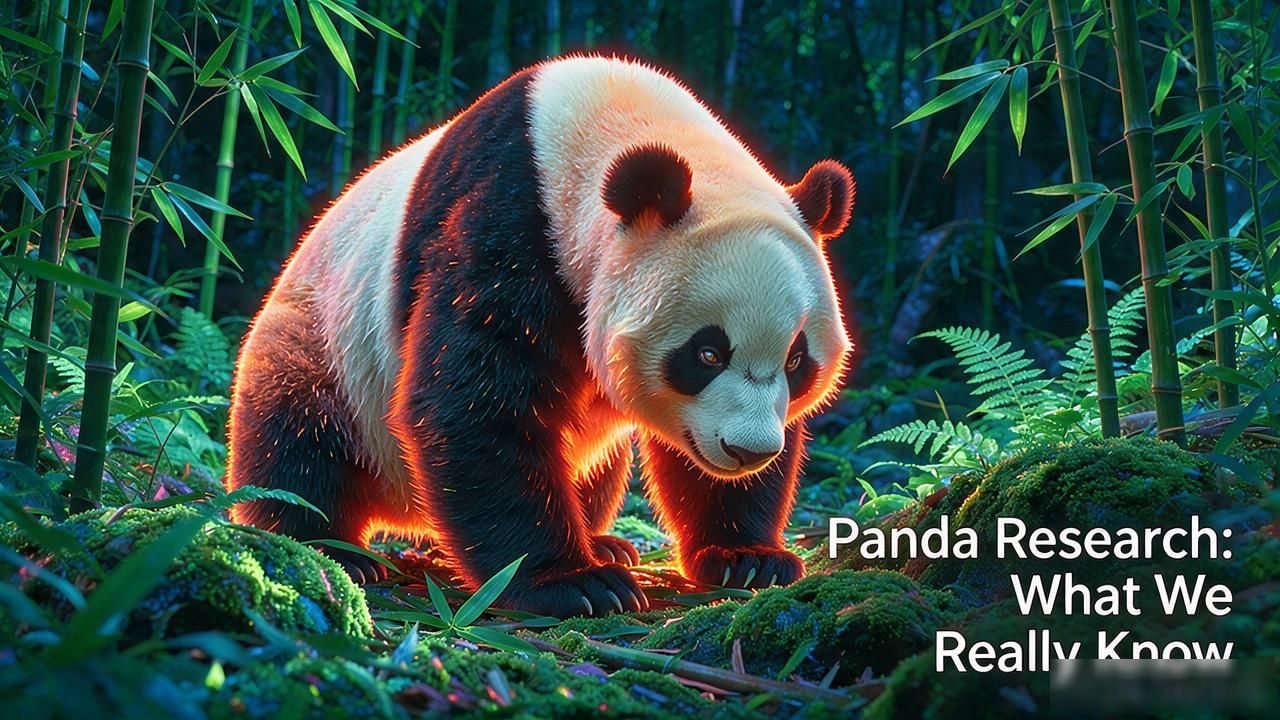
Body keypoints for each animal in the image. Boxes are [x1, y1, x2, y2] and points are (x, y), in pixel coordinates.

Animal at [227, 55, 854, 618]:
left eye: (796, 360)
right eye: (706, 353)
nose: (748, 450)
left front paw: (747, 558)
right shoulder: (506, 224)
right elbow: (475, 402)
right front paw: (572, 584)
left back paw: (605, 542)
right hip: (325, 343)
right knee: (297, 440)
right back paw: (334, 548)